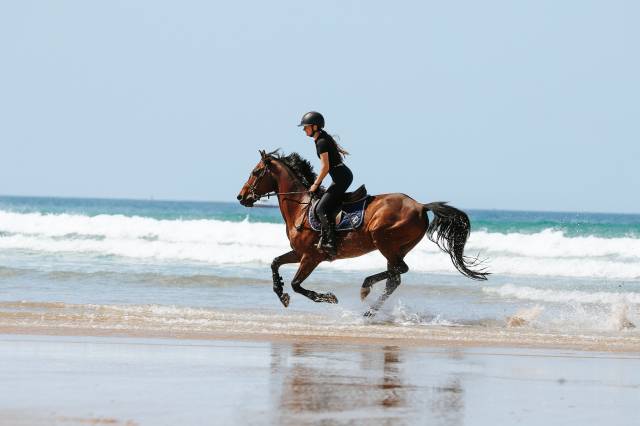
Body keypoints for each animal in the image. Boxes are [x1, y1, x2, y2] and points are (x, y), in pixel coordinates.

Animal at [237, 150, 488, 315]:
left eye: (255, 172)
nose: (241, 197)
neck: (300, 206)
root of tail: (421, 205)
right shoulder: (299, 253)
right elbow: (275, 263)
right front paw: (281, 295)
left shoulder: (311, 256)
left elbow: (296, 284)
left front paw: (327, 297)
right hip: (397, 247)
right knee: (395, 277)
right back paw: (370, 306)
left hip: (383, 239)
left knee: (398, 271)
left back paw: (366, 289)